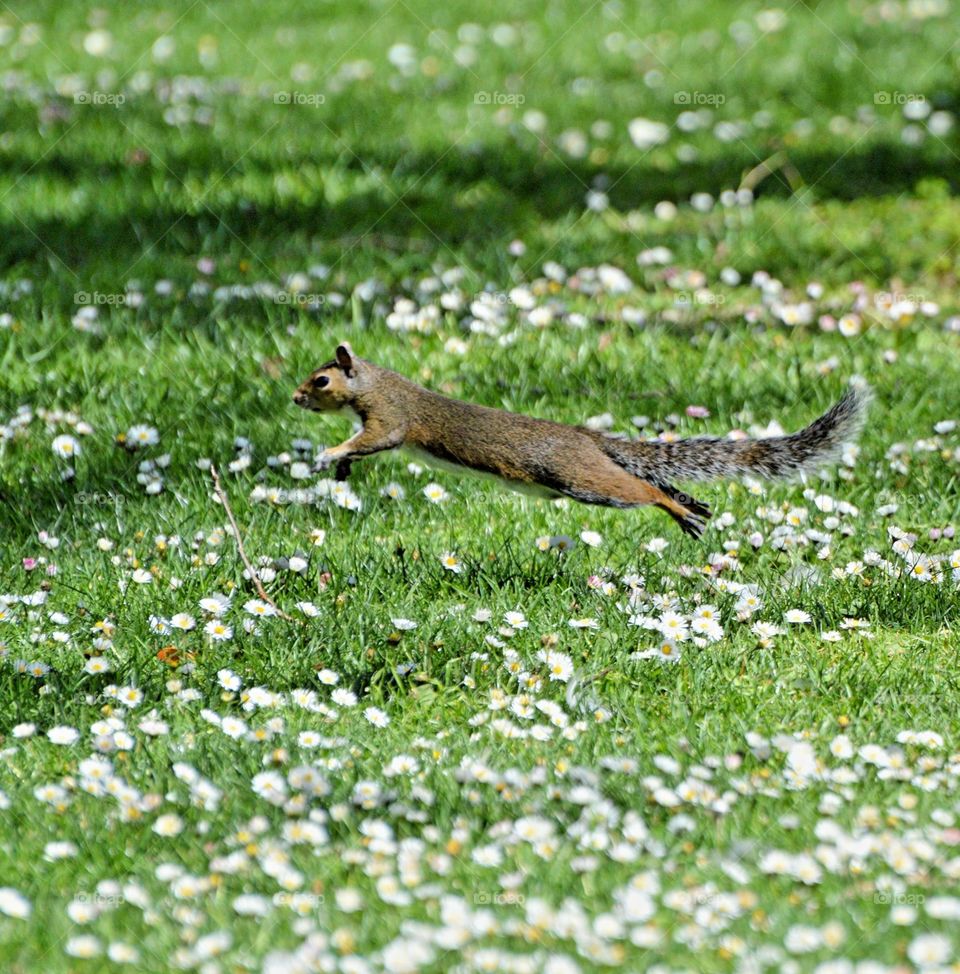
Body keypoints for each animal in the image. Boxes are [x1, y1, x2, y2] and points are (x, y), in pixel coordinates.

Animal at [293, 342, 870, 538]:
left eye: (321, 381)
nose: (295, 398)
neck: (373, 383)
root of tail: (586, 438)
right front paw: (341, 467)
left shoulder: (392, 418)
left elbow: (375, 438)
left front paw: (330, 455)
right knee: (654, 481)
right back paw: (692, 505)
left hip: (582, 479)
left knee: (645, 491)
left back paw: (680, 512)